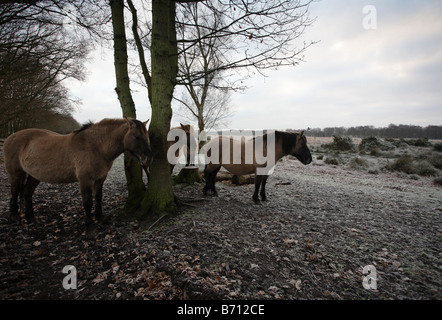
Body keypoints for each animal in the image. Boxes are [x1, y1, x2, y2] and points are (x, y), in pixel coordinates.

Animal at [3, 118, 152, 228]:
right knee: (15, 192)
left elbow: (98, 197)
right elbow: (87, 201)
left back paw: (31, 217)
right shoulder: (85, 179)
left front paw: (100, 217)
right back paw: (15, 216)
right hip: (16, 173)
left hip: (34, 175)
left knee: (27, 192)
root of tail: (10, 137)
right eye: (136, 136)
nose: (148, 158)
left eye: (147, 135)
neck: (96, 146)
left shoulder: (100, 178)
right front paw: (89, 223)